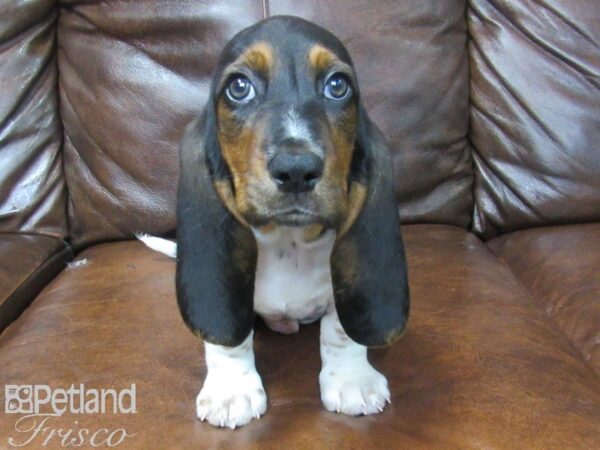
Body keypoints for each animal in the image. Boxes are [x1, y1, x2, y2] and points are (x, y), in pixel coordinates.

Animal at [142, 14, 408, 428]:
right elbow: (231, 341)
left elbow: (339, 330)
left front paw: (352, 380)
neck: (289, 240)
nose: (296, 170)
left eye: (338, 86)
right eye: (239, 87)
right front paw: (231, 390)